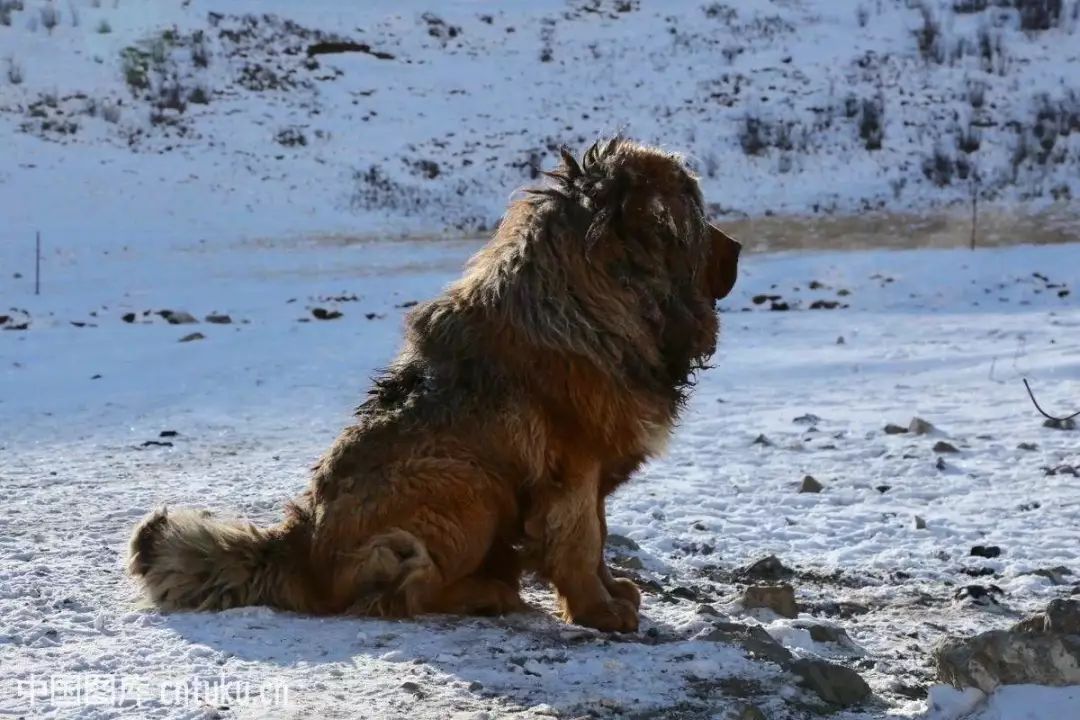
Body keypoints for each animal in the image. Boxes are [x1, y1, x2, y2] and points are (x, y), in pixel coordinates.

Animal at [128, 138, 743, 634]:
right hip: (467, 483)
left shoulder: (592, 474)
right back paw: (486, 592)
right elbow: (580, 542)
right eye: (697, 218)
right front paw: (599, 611)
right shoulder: (572, 468)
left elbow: (599, 538)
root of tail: (297, 546)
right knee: (406, 592)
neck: (595, 301)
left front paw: (614, 591)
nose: (737, 248)